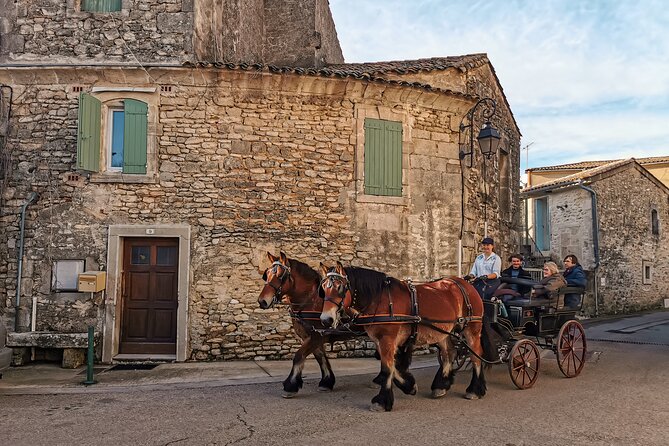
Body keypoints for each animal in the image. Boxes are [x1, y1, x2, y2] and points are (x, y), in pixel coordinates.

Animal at [258, 254, 378, 398]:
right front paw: (327, 382)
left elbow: (299, 356)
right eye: (267, 274)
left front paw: (290, 386)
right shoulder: (312, 336)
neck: (310, 300)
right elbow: (320, 357)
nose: (262, 301)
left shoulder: (316, 336)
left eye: (281, 275)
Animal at [318, 262, 486, 412]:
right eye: (323, 289)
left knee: (476, 356)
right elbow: (392, 366)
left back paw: (474, 390)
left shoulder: (387, 339)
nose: (326, 320)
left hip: (472, 328)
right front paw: (409, 386)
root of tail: (464, 283)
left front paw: (382, 401)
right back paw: (441, 386)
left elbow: (387, 368)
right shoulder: (380, 341)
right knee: (448, 353)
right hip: (443, 331)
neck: (380, 299)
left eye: (340, 287)